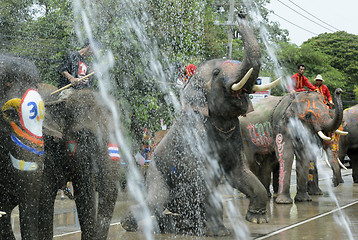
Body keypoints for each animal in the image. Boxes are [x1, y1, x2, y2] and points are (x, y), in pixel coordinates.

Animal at [121, 12, 282, 235]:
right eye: (216, 73)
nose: (241, 13)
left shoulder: (235, 137)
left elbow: (239, 173)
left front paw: (258, 220)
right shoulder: (193, 137)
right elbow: (203, 178)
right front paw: (220, 232)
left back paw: (181, 225)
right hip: (155, 171)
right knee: (156, 200)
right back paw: (129, 224)